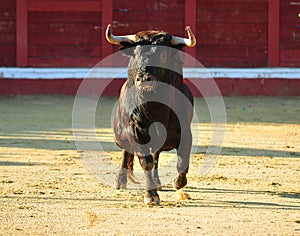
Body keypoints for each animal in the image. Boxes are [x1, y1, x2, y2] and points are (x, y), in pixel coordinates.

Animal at [106, 24, 197, 205]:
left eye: (163, 54)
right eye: (135, 53)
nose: (143, 78)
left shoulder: (185, 133)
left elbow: (182, 162)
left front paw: (178, 183)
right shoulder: (136, 133)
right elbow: (145, 161)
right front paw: (151, 195)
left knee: (156, 157)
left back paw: (158, 182)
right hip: (122, 136)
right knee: (127, 153)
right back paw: (120, 181)